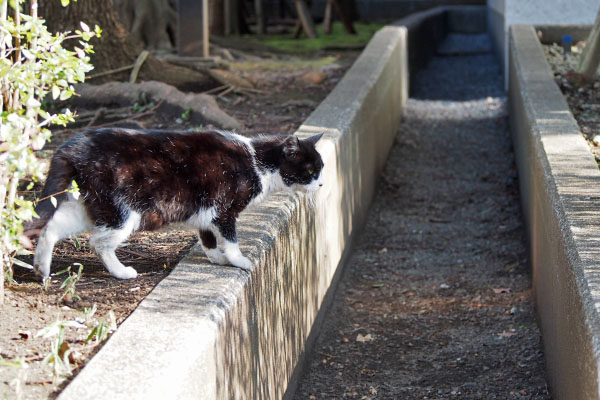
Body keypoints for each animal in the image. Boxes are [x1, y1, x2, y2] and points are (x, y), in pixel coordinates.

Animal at [24, 130, 324, 280]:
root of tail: (73, 146)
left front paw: (216, 258)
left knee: (52, 226)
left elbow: (207, 237)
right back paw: (122, 272)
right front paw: (239, 261)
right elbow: (230, 239)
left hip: (93, 204)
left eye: (321, 168)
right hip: (123, 211)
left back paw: (42, 269)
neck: (257, 162)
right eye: (311, 171)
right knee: (98, 242)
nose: (321, 184)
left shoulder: (207, 210)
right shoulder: (224, 209)